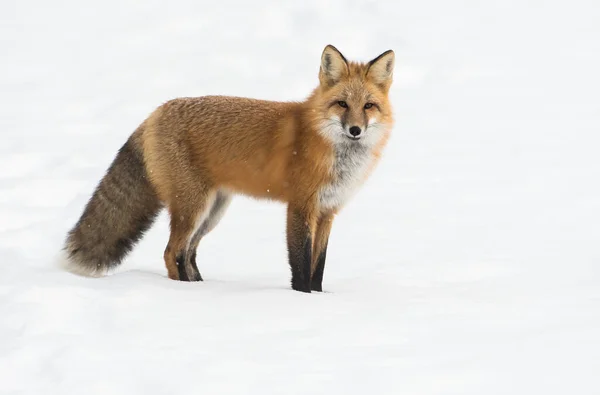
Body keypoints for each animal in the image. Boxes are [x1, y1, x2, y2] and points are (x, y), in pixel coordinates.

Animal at [63, 45, 396, 294]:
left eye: (368, 106)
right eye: (342, 104)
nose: (355, 130)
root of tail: (155, 112)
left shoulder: (328, 211)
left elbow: (319, 266)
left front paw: (319, 297)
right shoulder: (300, 207)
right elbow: (300, 264)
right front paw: (301, 299)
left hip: (213, 211)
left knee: (188, 253)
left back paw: (202, 287)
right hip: (193, 207)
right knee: (172, 252)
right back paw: (184, 293)